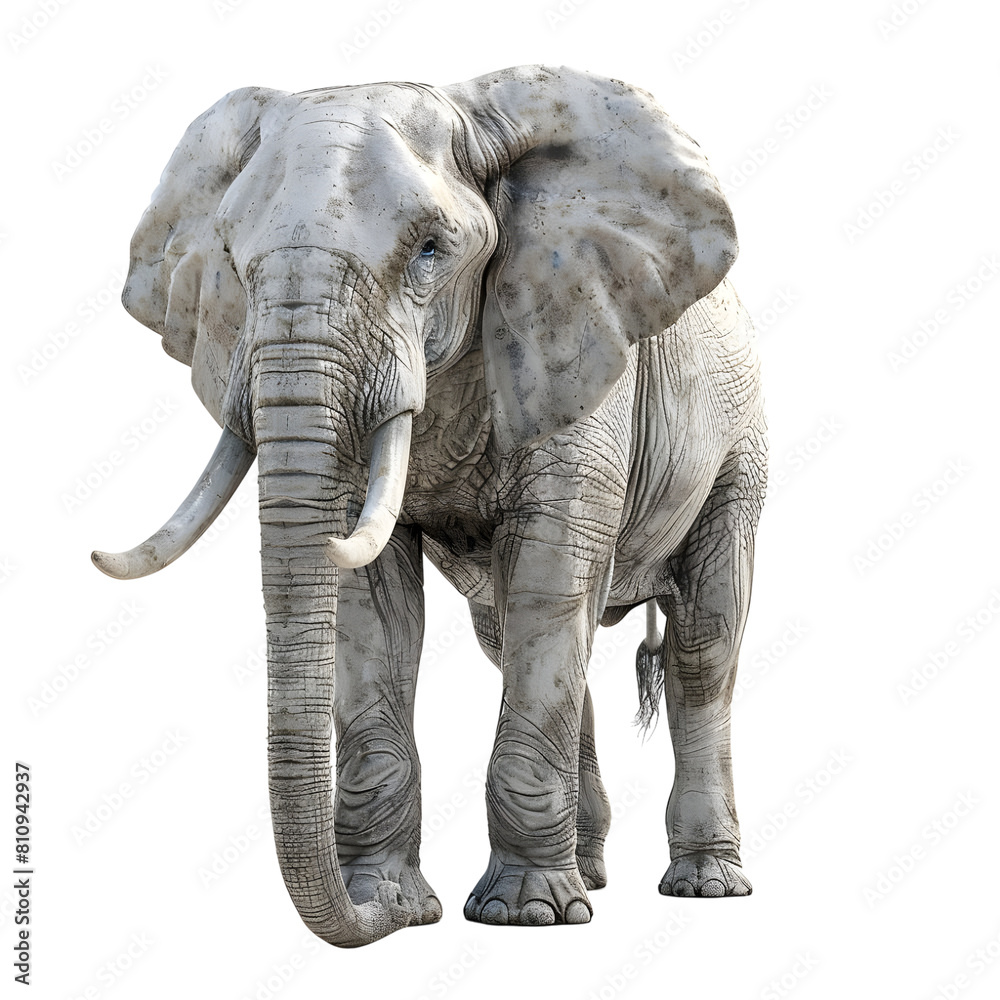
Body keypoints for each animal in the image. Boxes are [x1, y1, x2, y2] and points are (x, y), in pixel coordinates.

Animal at [93, 65, 766, 947]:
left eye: (430, 251)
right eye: (232, 259)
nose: (372, 918)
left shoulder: (576, 344)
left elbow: (552, 572)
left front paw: (524, 916)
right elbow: (373, 606)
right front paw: (398, 902)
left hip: (739, 442)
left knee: (701, 645)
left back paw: (705, 886)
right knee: (519, 638)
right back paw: (588, 876)